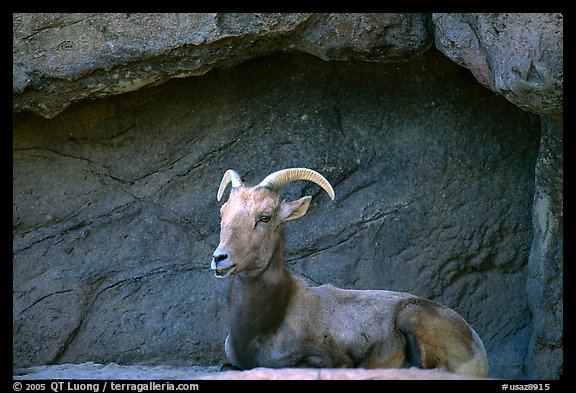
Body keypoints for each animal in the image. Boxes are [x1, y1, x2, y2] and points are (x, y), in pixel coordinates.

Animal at [209, 168, 488, 376]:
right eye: (224, 213)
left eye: (265, 217)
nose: (220, 258)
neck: (260, 326)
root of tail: (477, 348)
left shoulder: (327, 359)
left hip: (413, 315)